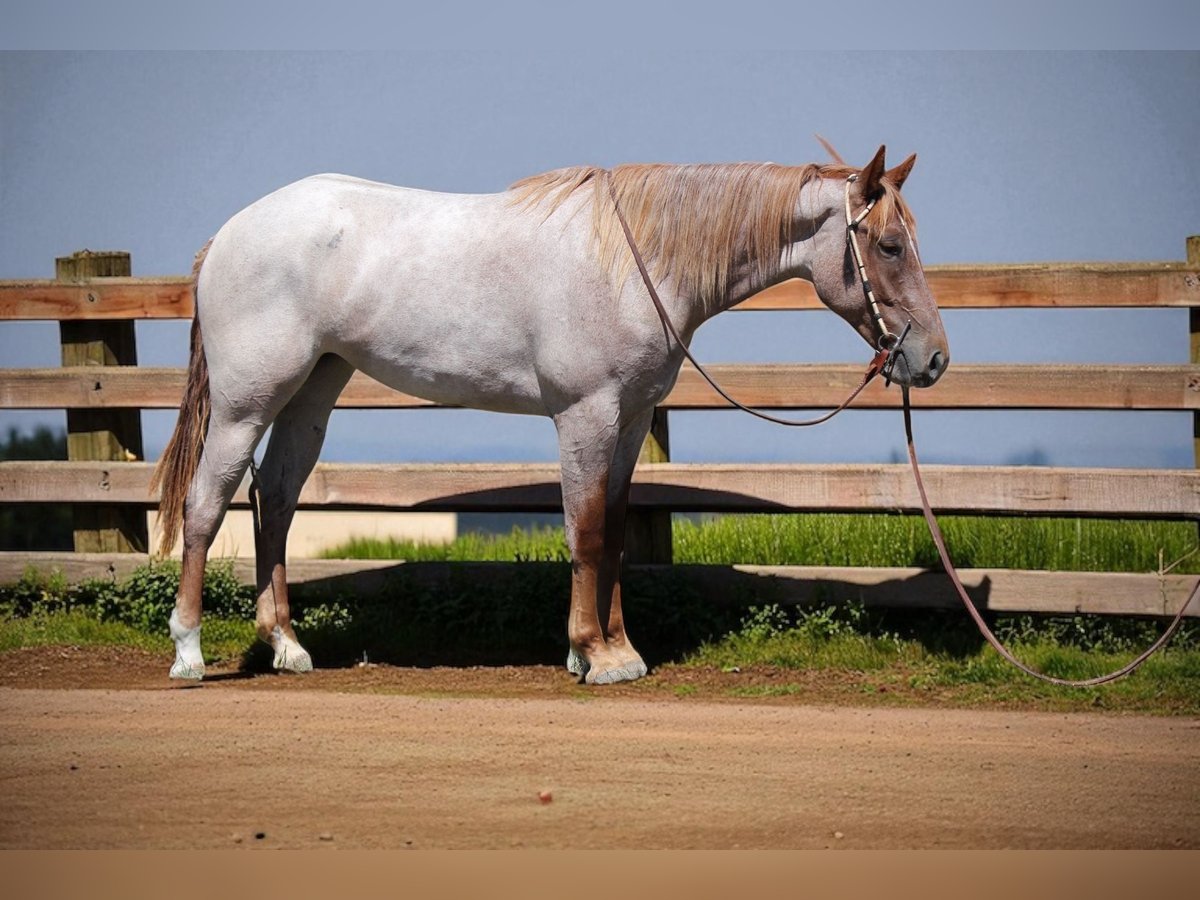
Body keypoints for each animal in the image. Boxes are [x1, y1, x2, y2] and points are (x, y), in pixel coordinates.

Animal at [152, 145, 949, 685]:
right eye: (888, 244)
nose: (934, 359)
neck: (637, 260)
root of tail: (227, 237)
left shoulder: (630, 420)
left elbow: (616, 533)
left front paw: (620, 648)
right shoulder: (585, 416)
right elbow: (585, 530)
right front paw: (592, 653)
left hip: (313, 391)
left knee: (277, 498)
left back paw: (286, 646)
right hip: (246, 404)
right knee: (206, 505)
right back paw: (189, 650)